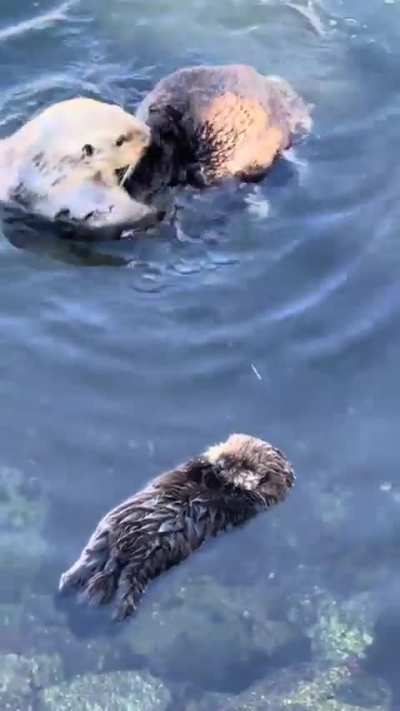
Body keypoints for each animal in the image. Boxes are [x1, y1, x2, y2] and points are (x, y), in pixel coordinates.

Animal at [59, 433, 294, 620]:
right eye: (227, 451)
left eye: (244, 464)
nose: (221, 463)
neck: (218, 485)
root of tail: (122, 551)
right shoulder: (196, 473)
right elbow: (193, 468)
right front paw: (207, 462)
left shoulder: (252, 502)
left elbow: (248, 492)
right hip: (106, 535)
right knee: (89, 562)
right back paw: (67, 586)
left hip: (148, 560)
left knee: (126, 581)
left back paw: (116, 611)